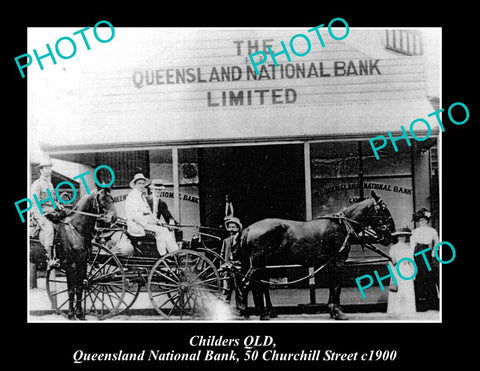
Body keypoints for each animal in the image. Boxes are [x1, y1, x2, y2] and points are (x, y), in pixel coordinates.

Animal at [53, 189, 116, 320]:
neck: (76, 230)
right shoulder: (70, 265)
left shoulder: (83, 263)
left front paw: (79, 313)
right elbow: (71, 289)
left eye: (112, 199)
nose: (113, 217)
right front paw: (71, 314)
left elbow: (80, 288)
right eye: (103, 200)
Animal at [238, 190, 396, 322]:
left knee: (259, 285)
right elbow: (336, 286)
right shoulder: (338, 263)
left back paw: (263, 312)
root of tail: (249, 228)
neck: (342, 226)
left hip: (263, 265)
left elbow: (332, 286)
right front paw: (338, 312)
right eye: (383, 209)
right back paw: (247, 313)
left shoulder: (331, 263)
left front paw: (332, 310)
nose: (392, 234)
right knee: (246, 284)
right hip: (258, 265)